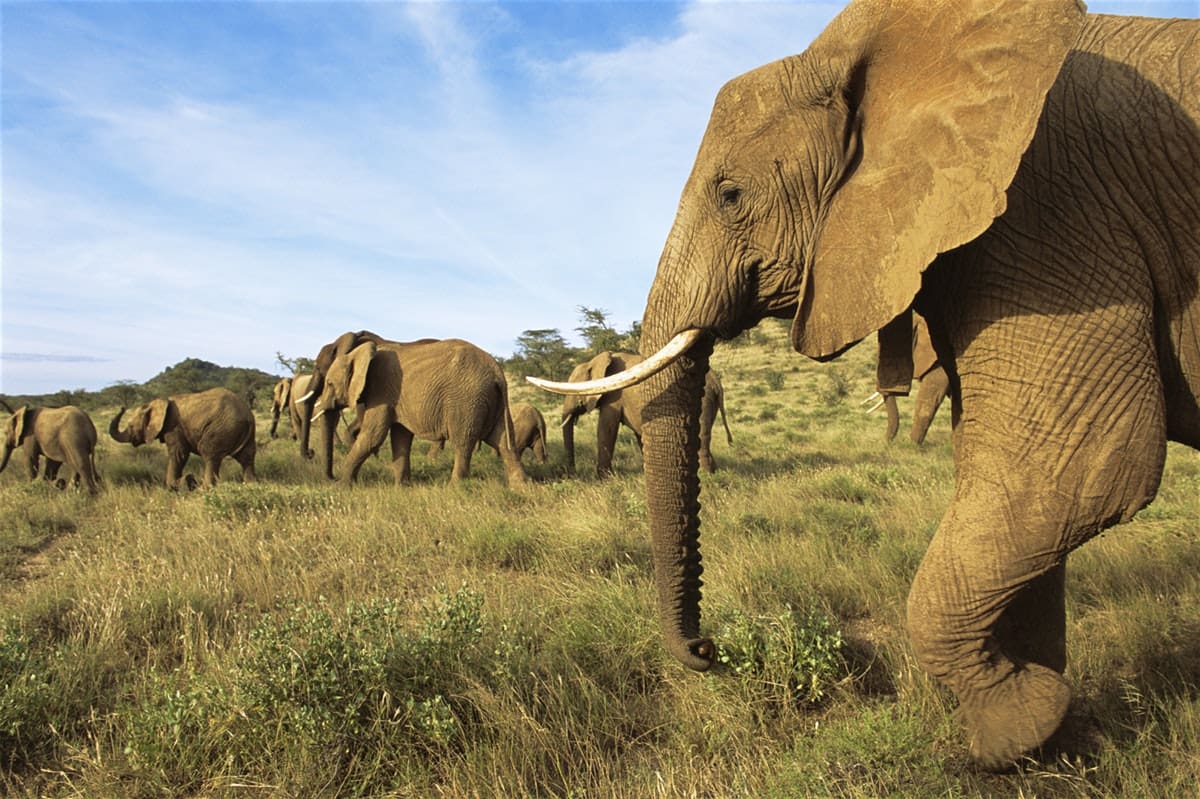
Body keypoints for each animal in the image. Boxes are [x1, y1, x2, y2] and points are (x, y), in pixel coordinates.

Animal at [110, 387, 257, 489]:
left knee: (210, 455)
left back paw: (204, 489)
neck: (158, 402)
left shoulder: (173, 427)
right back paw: (250, 486)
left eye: (130, 425)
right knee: (246, 458)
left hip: (220, 429)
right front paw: (186, 482)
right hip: (243, 433)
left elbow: (178, 454)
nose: (122, 407)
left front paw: (180, 484)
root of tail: (247, 416)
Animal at [309, 337, 527, 487]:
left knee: (462, 443)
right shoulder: (395, 398)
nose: (330, 478)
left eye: (329, 383)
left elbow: (373, 436)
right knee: (502, 442)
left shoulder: (381, 392)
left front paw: (341, 487)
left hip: (466, 401)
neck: (359, 354)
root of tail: (498, 373)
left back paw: (454, 488)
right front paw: (401, 487)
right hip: (490, 401)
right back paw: (521, 487)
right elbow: (400, 438)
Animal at [560, 351, 731, 476]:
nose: (571, 474)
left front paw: (604, 479)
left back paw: (705, 476)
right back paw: (714, 473)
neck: (592, 362)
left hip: (701, 399)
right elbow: (640, 434)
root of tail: (716, 383)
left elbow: (606, 428)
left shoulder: (614, 396)